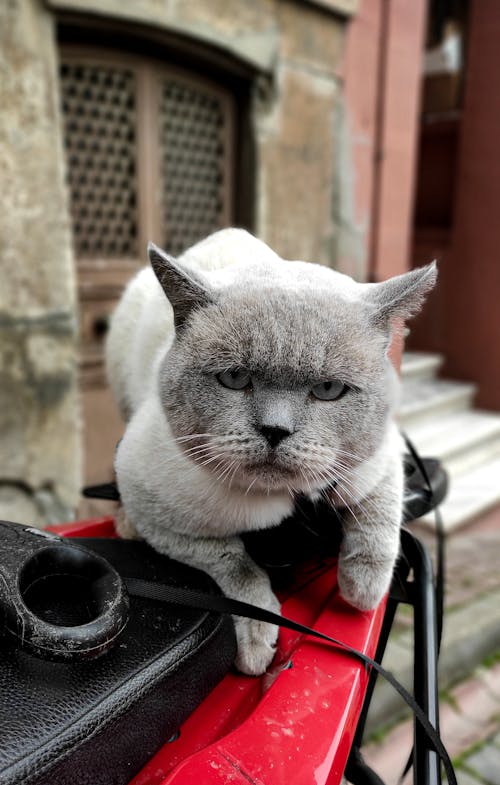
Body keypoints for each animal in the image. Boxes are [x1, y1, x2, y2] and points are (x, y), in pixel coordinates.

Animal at [106, 225, 438, 672]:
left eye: (328, 389)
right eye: (234, 378)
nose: (275, 430)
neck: (285, 500)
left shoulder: (379, 454)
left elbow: (380, 519)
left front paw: (360, 589)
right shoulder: (159, 513)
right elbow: (236, 564)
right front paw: (257, 640)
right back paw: (124, 524)